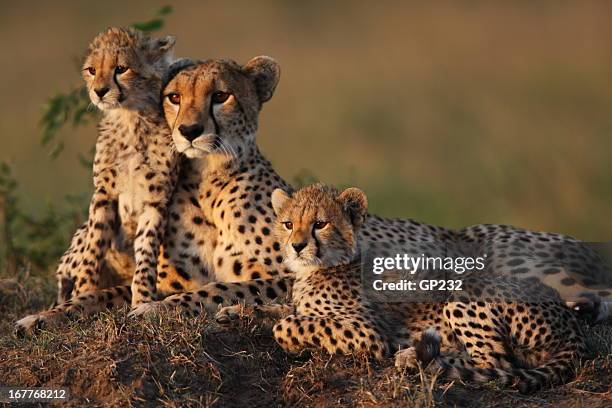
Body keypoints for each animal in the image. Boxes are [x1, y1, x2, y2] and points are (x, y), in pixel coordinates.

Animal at [16, 27, 179, 332]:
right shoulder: (104, 193)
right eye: (92, 70)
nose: (99, 91)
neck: (130, 119)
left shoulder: (156, 199)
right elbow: (93, 249)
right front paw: (84, 291)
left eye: (121, 69)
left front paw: (142, 300)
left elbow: (147, 253)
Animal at [266, 184, 588, 392]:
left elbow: (287, 325)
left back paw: (422, 361)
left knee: (498, 361)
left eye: (320, 224)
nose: (297, 246)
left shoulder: (368, 333)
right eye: (288, 223)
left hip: (464, 290)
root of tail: (569, 318)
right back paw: (415, 356)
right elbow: (278, 311)